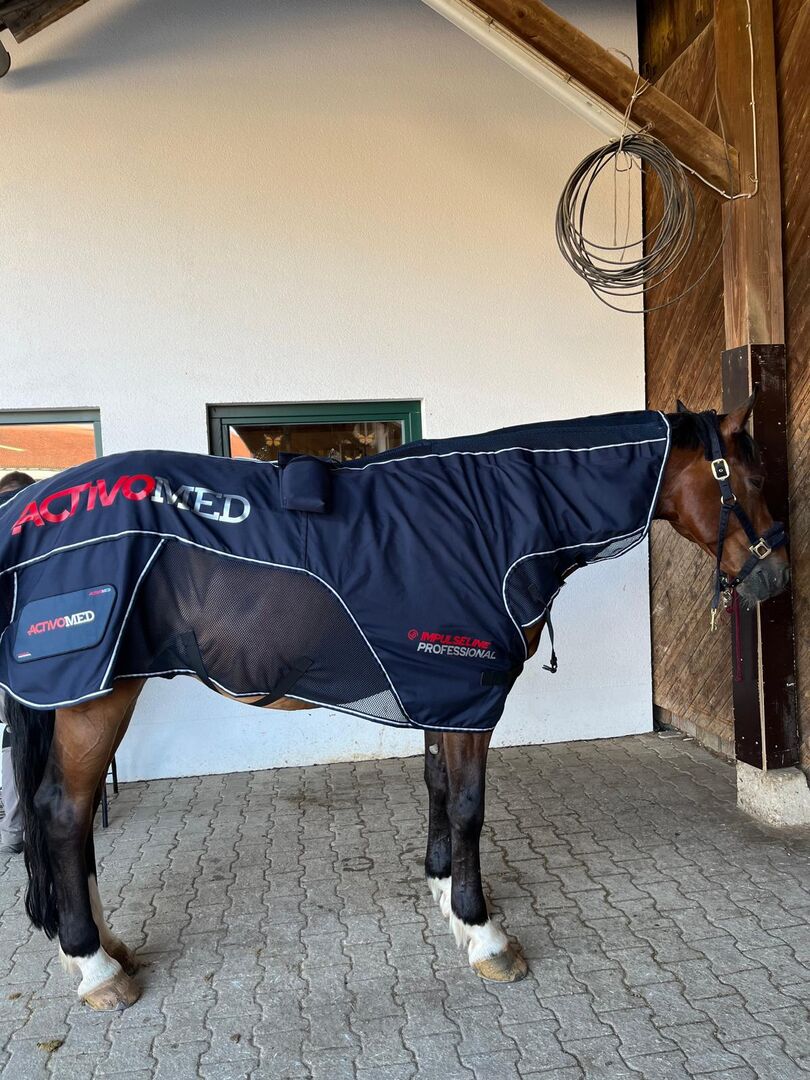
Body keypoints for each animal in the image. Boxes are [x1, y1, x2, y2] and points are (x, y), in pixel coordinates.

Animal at [0, 396, 789, 1011]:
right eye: (751, 478)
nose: (776, 576)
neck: (498, 515)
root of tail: (25, 508)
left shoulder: (443, 692)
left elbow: (437, 784)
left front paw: (444, 894)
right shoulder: (469, 693)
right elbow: (468, 807)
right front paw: (483, 932)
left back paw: (104, 946)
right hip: (94, 698)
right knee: (64, 813)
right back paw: (96, 966)